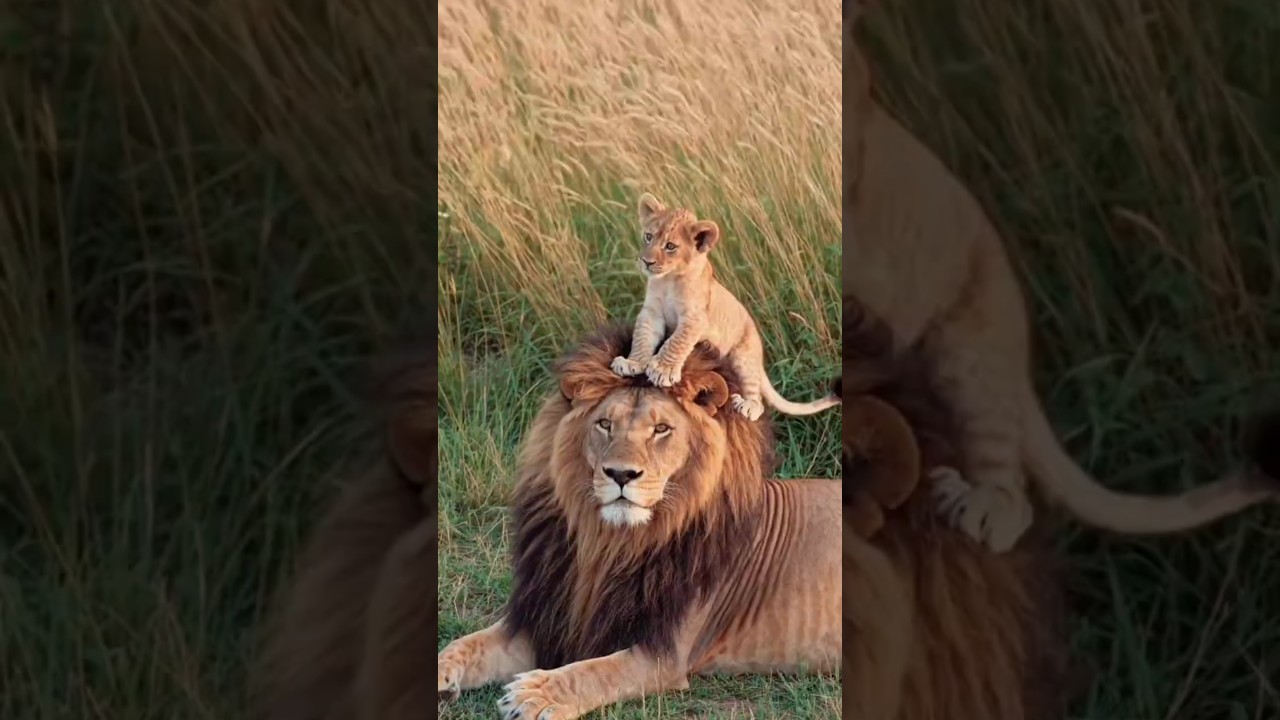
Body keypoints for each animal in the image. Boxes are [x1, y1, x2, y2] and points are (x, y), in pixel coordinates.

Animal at [437, 324, 840, 719]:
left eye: (661, 429)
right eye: (604, 424)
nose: (620, 474)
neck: (611, 544)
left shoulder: (663, 654)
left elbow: (593, 672)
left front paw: (536, 693)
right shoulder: (546, 618)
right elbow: (463, 644)